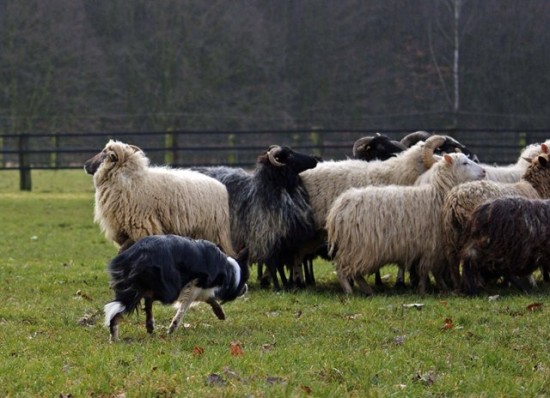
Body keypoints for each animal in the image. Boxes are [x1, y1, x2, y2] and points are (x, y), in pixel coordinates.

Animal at [84, 140, 235, 256]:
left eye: (104, 153)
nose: (85, 165)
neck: (129, 179)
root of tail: (221, 187)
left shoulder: (142, 226)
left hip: (212, 231)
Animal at [104, 233, 250, 342]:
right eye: (245, 279)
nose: (246, 288)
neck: (230, 270)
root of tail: (140, 253)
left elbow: (208, 298)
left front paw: (219, 313)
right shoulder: (195, 285)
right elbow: (186, 306)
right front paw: (173, 327)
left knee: (122, 309)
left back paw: (117, 337)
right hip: (169, 290)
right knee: (147, 296)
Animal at [194, 145, 320, 290]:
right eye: (290, 155)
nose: (315, 158)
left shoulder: (284, 240)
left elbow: (281, 265)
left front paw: (286, 285)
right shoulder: (265, 237)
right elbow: (272, 264)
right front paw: (277, 287)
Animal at [328, 152, 488, 296]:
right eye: (464, 163)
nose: (484, 171)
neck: (438, 194)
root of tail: (338, 208)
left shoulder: (435, 247)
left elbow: (433, 271)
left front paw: (442, 288)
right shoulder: (431, 246)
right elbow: (426, 270)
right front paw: (424, 290)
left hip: (355, 248)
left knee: (353, 272)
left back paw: (368, 290)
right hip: (359, 247)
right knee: (343, 269)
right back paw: (350, 292)